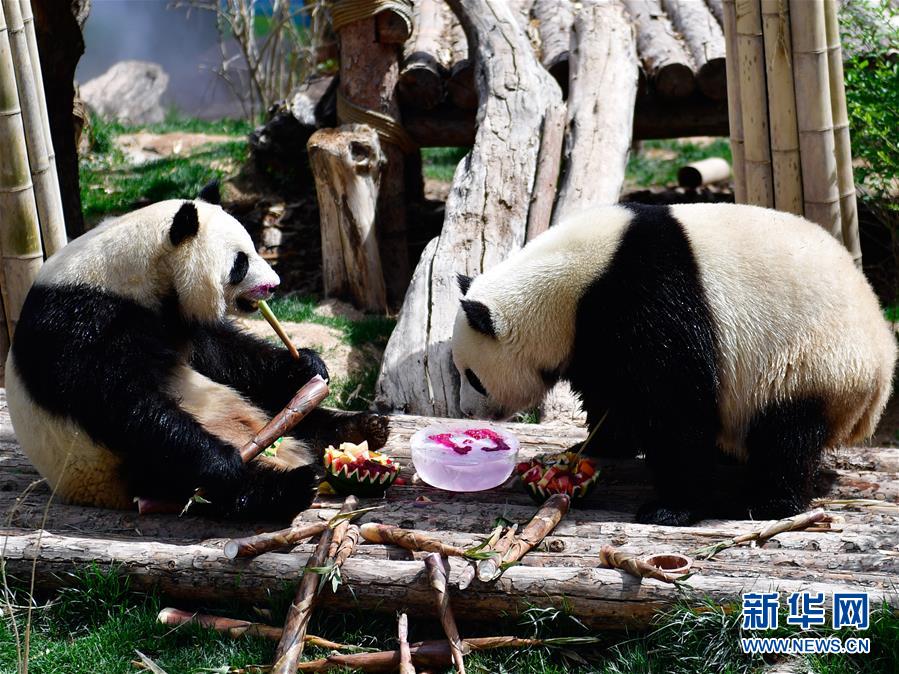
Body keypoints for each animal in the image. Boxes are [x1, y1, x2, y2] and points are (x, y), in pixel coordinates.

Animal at [5, 197, 388, 518]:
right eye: (240, 261)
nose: (274, 285)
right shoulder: (83, 320)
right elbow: (118, 400)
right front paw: (223, 462)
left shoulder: (175, 315)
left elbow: (221, 355)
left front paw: (304, 365)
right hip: (106, 465)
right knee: (186, 480)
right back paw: (285, 487)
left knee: (287, 412)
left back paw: (360, 427)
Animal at [452, 203, 896, 526]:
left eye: (473, 378)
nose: (467, 413)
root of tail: (881, 372)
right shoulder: (593, 335)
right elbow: (610, 393)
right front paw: (596, 443)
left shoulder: (646, 297)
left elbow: (676, 404)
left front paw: (670, 507)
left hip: (811, 363)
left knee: (786, 434)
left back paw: (763, 503)